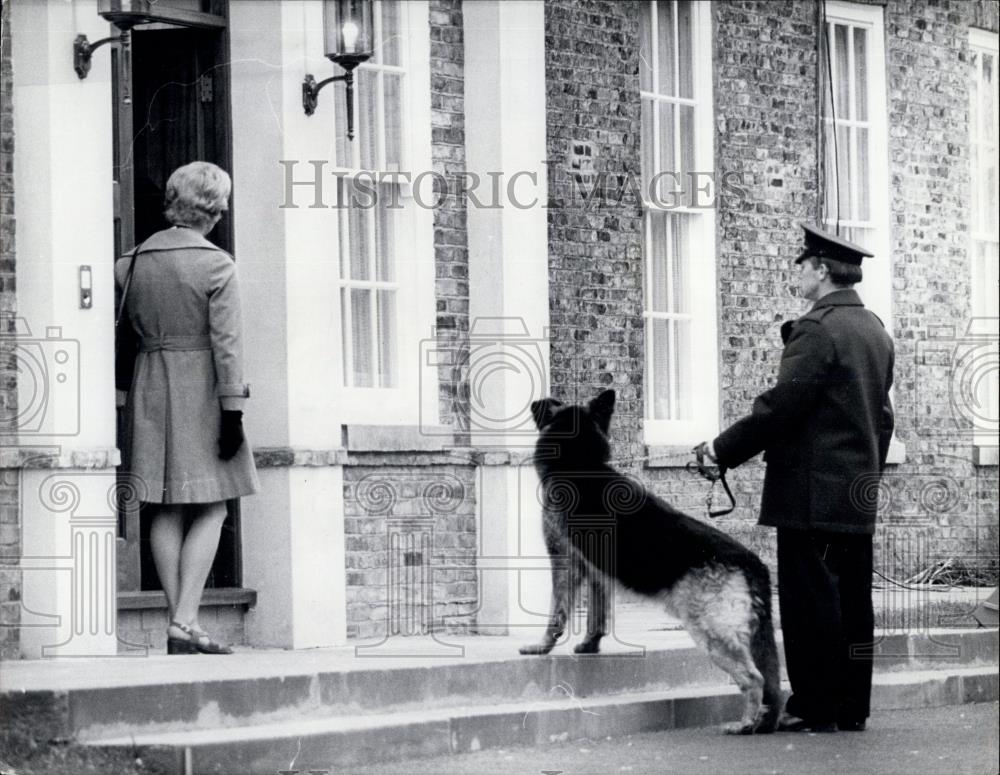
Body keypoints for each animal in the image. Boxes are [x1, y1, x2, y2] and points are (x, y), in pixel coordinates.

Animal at [520, 392, 784, 736]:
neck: (582, 464)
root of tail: (752, 561)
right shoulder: (597, 571)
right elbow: (597, 616)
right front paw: (590, 646)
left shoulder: (565, 561)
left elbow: (556, 614)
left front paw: (541, 647)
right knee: (771, 684)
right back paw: (766, 721)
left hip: (711, 633)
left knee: (754, 678)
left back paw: (746, 723)